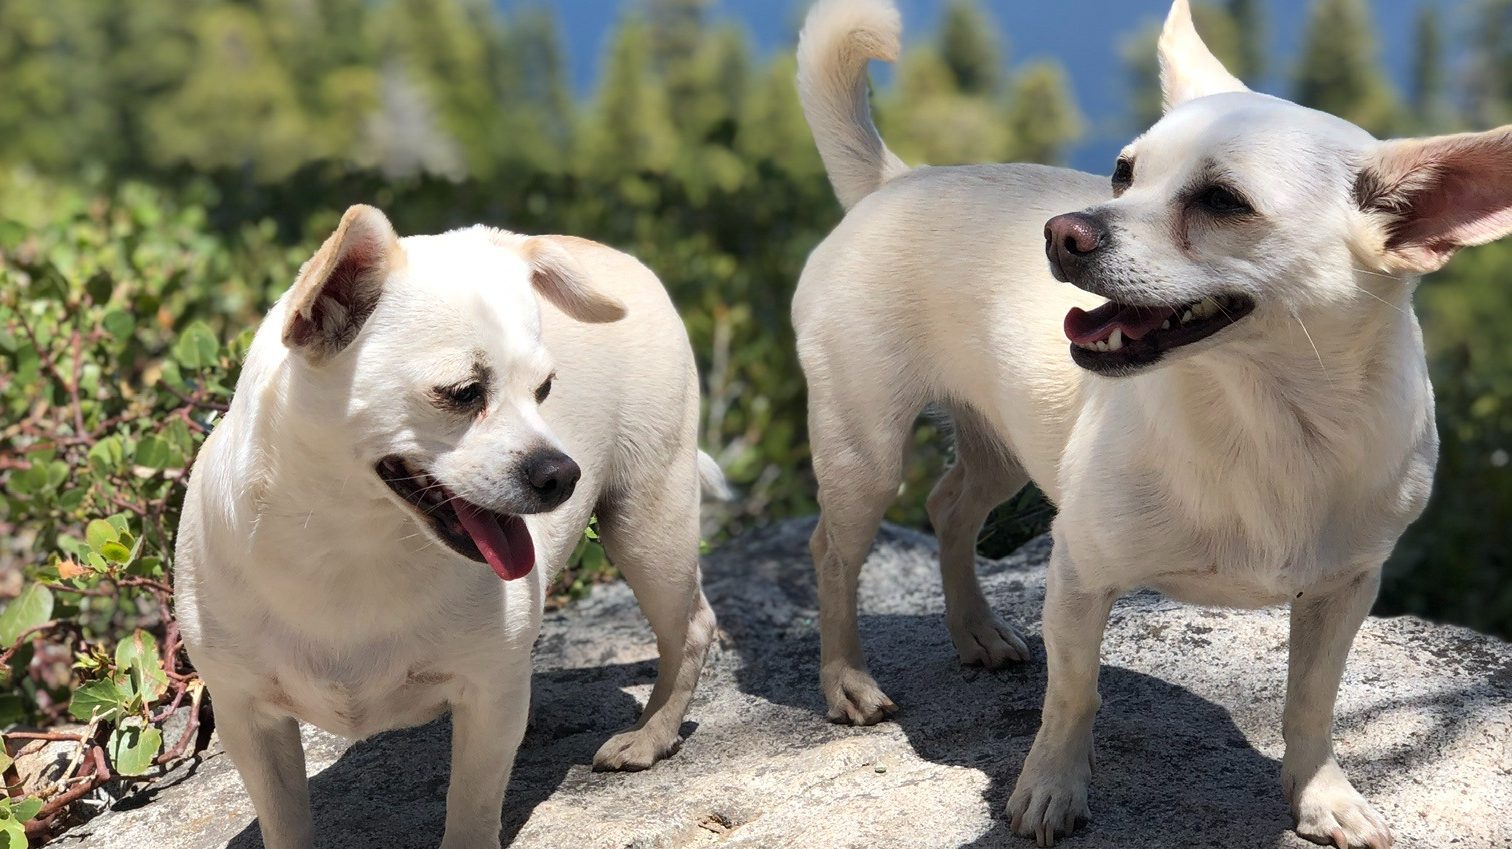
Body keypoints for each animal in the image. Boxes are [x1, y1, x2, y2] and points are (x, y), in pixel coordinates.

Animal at [173, 205, 722, 845]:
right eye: (462, 393)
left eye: (544, 390)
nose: (563, 473)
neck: (350, 544)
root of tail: (608, 251)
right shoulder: (248, 719)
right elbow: (285, 822)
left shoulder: (490, 695)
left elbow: (472, 807)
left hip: (646, 522)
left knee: (691, 625)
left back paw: (651, 736)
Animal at [792, 0, 1512, 839]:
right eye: (1122, 172)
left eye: (1223, 201)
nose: (1061, 229)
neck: (1266, 420)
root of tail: (896, 180)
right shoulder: (1080, 573)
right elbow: (1074, 694)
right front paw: (1051, 788)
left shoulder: (1344, 591)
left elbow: (1311, 702)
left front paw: (1320, 794)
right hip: (865, 452)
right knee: (834, 554)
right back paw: (846, 678)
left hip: (1001, 446)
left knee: (949, 507)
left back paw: (975, 628)